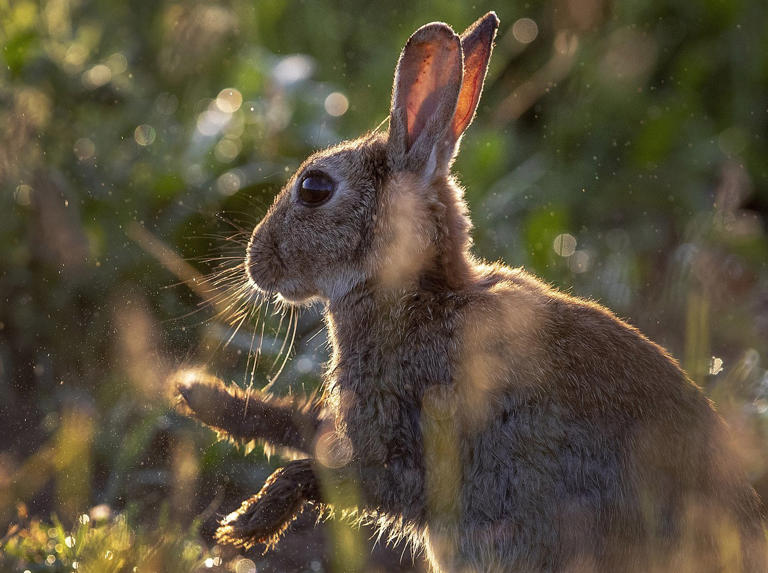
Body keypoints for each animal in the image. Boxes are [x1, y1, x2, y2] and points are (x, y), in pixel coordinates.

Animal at [176, 12, 767, 573]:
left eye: (314, 189)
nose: (255, 263)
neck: (419, 297)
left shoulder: (411, 449)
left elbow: (333, 475)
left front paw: (249, 522)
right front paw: (198, 394)